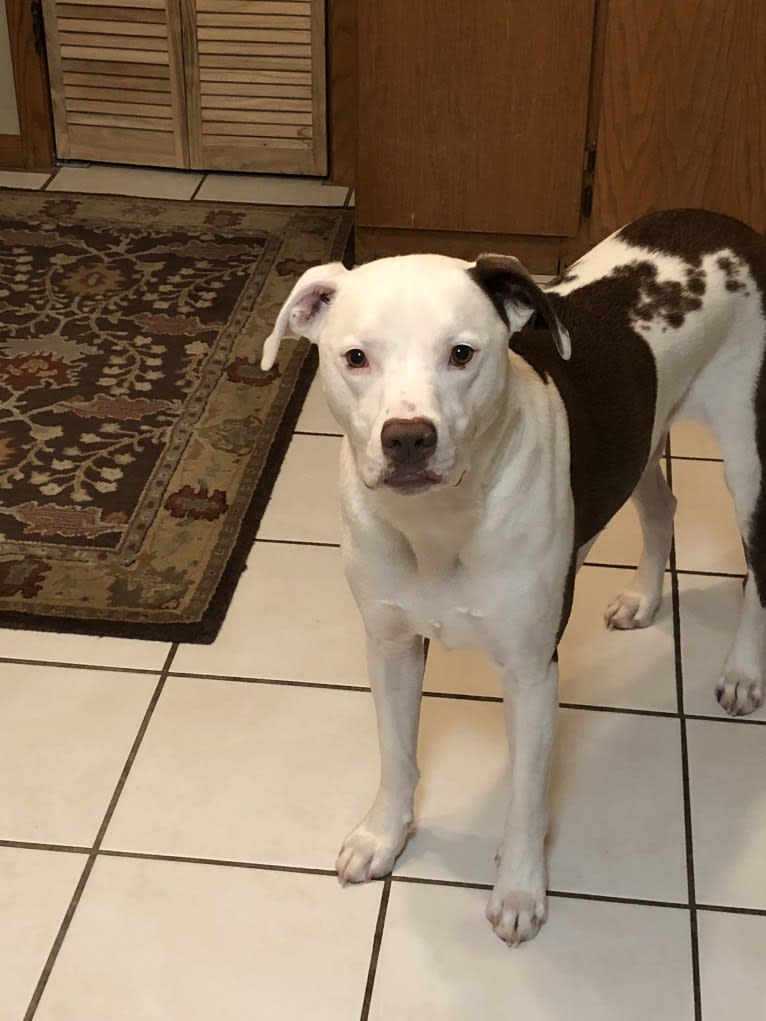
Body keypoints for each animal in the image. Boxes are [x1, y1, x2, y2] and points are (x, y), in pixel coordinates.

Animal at [263, 209, 766, 947]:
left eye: (462, 354)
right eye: (356, 357)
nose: (407, 437)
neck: (439, 527)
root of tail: (726, 223)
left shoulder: (531, 673)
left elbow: (527, 796)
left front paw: (521, 889)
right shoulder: (389, 643)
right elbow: (396, 754)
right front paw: (384, 836)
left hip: (749, 457)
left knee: (758, 568)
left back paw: (742, 671)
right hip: (638, 435)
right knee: (660, 505)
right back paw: (645, 597)